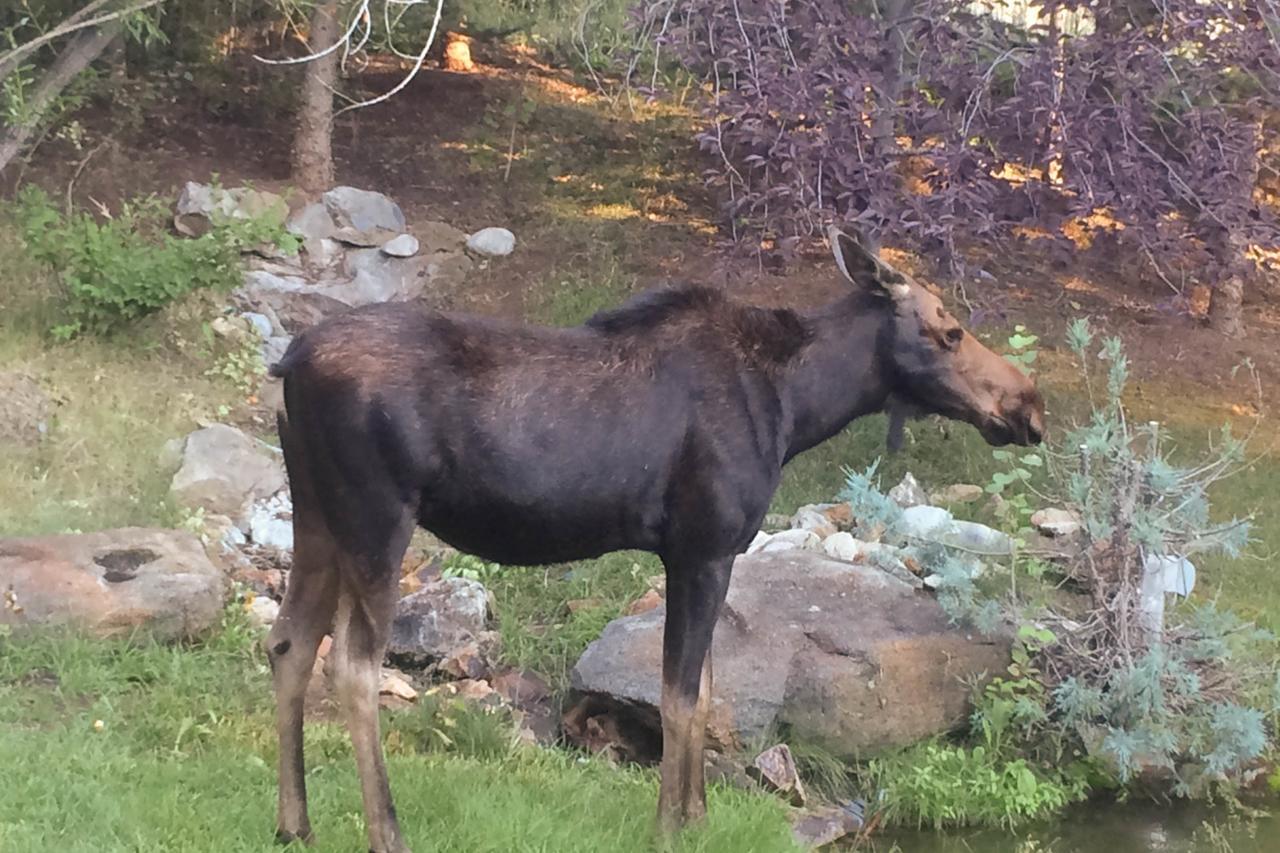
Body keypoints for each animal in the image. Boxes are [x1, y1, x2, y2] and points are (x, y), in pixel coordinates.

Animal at [264, 222, 1044, 845]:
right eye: (949, 331)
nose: (1029, 405)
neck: (797, 407)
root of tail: (288, 363)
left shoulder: (704, 554)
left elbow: (705, 688)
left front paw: (697, 817)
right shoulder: (703, 546)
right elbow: (681, 695)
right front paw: (670, 824)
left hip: (316, 514)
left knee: (288, 642)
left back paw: (294, 823)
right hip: (375, 517)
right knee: (353, 664)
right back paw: (385, 832)